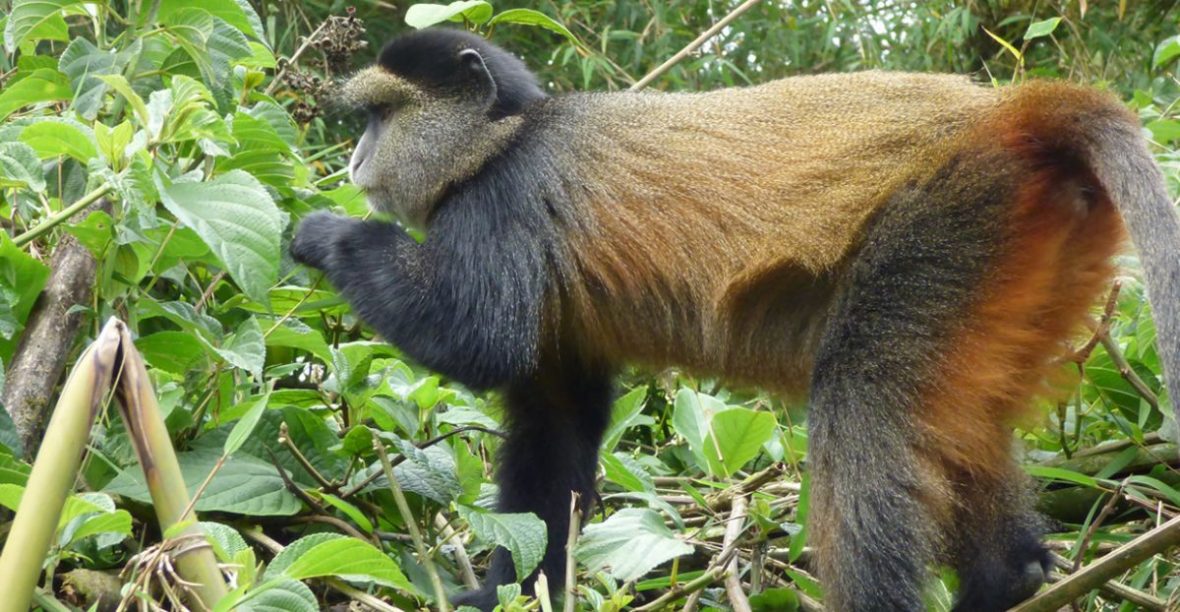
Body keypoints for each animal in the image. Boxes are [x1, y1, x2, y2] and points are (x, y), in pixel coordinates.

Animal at [290, 28, 1180, 612]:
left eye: (379, 116)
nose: (354, 160)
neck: (505, 134)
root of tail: (1014, 115)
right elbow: (554, 430)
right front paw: (506, 593)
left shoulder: (502, 201)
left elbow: (476, 338)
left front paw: (327, 234)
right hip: (1017, 257)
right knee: (961, 419)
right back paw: (1013, 578)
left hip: (953, 223)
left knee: (866, 399)